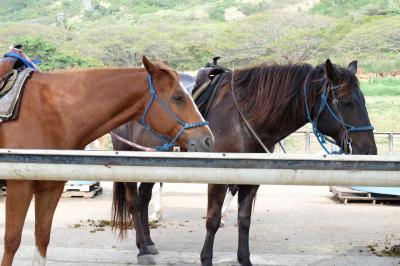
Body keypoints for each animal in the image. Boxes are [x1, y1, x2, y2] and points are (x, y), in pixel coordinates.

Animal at [0, 55, 214, 266]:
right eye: (178, 97)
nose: (208, 139)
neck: (51, 112)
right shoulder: (20, 186)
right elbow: (12, 241)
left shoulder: (51, 187)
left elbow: (42, 237)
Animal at [109, 59, 376, 264]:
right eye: (346, 102)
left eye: (363, 100)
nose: (369, 151)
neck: (243, 117)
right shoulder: (218, 178)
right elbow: (213, 221)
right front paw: (206, 259)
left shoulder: (250, 178)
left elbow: (244, 220)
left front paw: (244, 259)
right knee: (134, 203)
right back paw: (143, 249)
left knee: (144, 199)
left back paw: (148, 243)